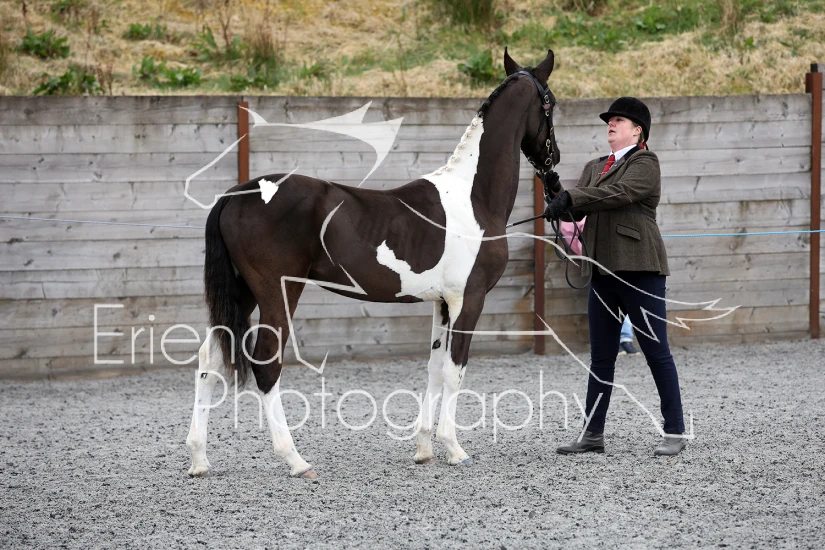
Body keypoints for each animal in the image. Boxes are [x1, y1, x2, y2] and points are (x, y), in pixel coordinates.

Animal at [186, 48, 561, 479]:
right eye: (551, 104)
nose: (554, 163)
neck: (472, 197)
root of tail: (234, 195)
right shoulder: (469, 299)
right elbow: (455, 369)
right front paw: (454, 448)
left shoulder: (441, 303)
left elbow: (435, 367)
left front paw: (424, 449)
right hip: (277, 292)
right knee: (266, 361)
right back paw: (295, 460)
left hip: (242, 293)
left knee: (210, 358)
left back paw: (199, 459)